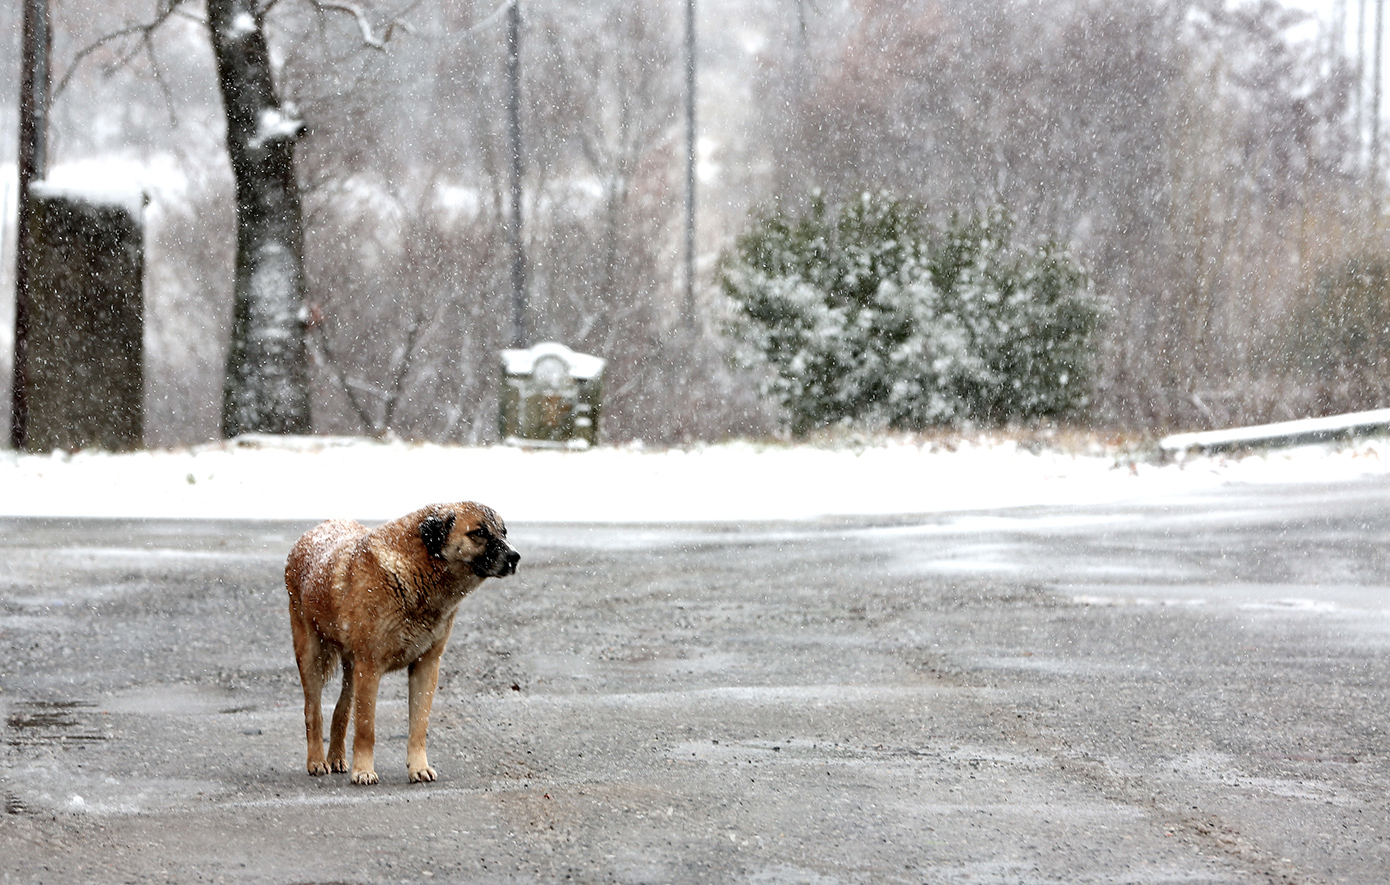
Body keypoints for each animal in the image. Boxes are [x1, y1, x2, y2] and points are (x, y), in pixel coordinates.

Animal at [286, 500, 522, 783]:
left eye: (504, 532)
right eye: (479, 532)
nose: (515, 557)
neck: (417, 571)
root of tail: (310, 534)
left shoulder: (426, 666)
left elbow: (419, 725)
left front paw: (418, 767)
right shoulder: (370, 667)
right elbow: (366, 728)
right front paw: (364, 771)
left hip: (351, 669)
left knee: (341, 708)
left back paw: (336, 757)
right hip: (311, 655)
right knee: (313, 711)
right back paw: (317, 761)